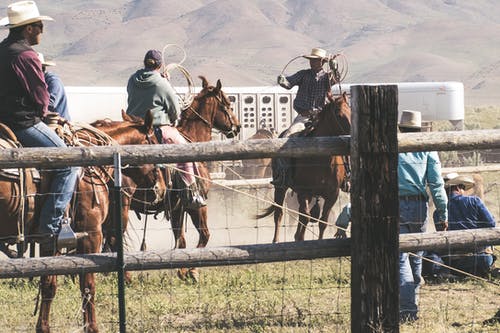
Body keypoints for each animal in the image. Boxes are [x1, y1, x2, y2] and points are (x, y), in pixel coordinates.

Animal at [258, 93, 352, 241]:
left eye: (351, 110)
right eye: (338, 113)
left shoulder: (333, 194)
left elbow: (323, 221)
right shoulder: (304, 192)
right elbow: (305, 217)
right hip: (280, 188)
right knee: (279, 214)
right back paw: (276, 240)